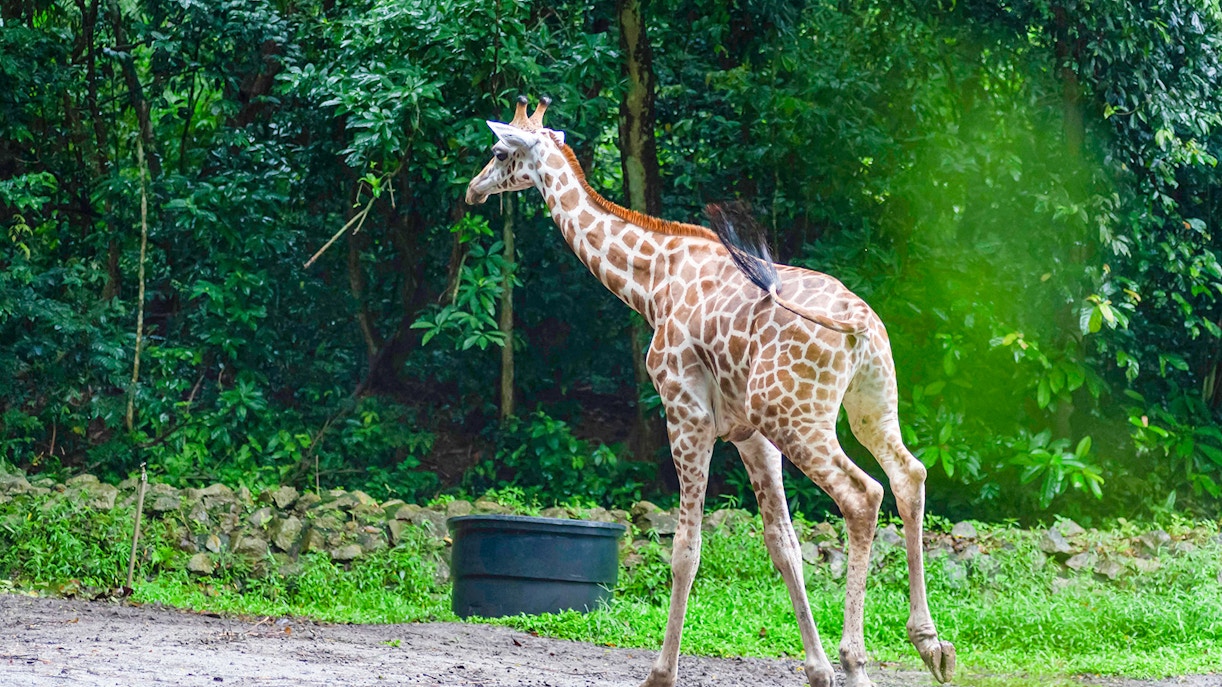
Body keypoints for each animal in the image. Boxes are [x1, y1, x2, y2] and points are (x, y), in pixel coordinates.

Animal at [465, 96, 956, 687]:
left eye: (497, 151)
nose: (473, 189)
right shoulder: (750, 436)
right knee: (909, 475)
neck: (651, 282)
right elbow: (784, 545)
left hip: (796, 415)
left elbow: (685, 547)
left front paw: (661, 672)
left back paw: (857, 661)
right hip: (868, 406)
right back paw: (931, 645)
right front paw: (815, 670)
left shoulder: (686, 412)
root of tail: (860, 325)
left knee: (862, 495)